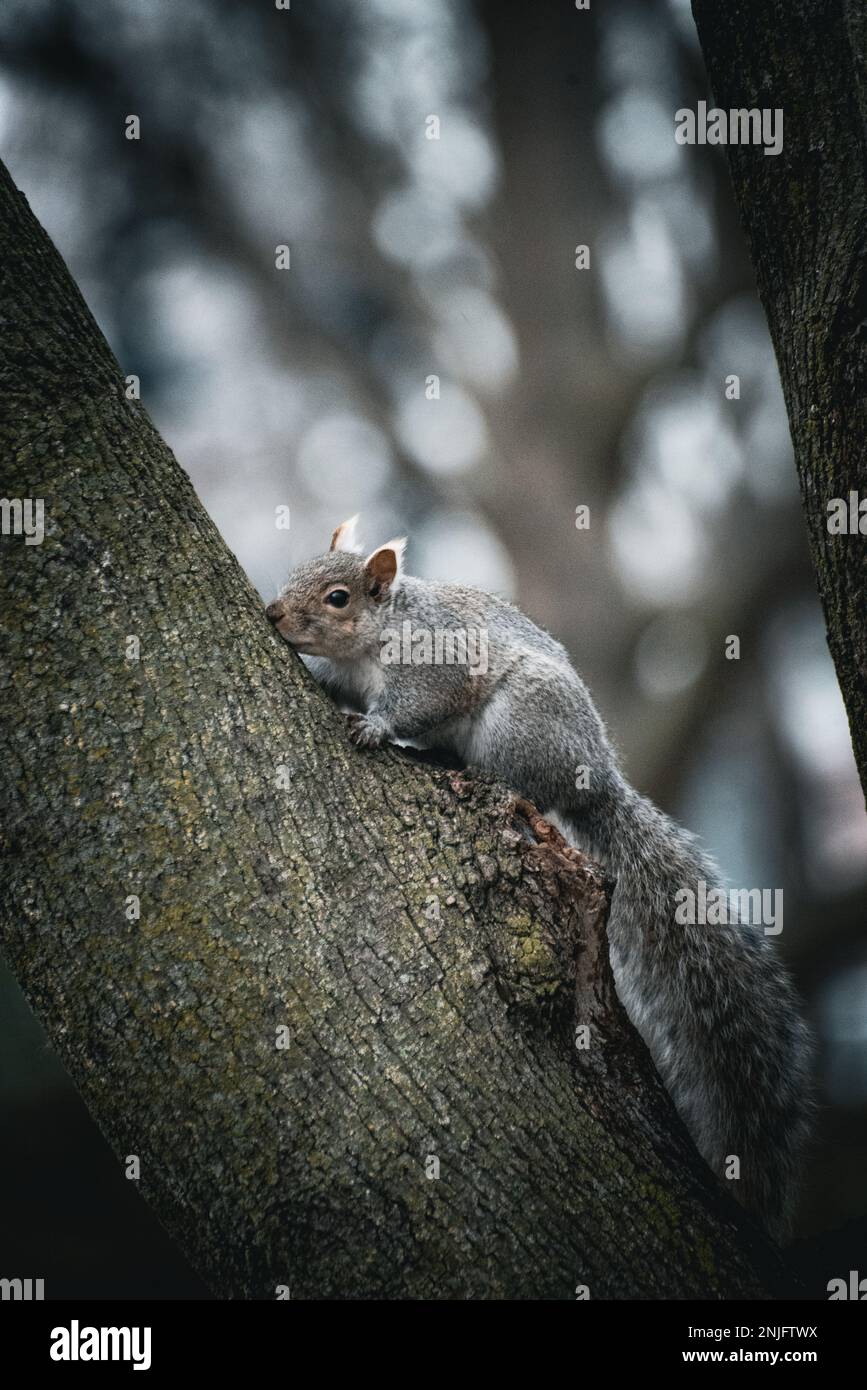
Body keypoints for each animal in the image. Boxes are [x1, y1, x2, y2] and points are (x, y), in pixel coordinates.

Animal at [266, 516, 813, 1240]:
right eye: (297, 570)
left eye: (336, 598)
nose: (274, 613)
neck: (374, 639)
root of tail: (596, 780)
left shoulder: (436, 663)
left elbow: (420, 700)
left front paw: (378, 726)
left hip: (522, 722)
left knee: (520, 779)